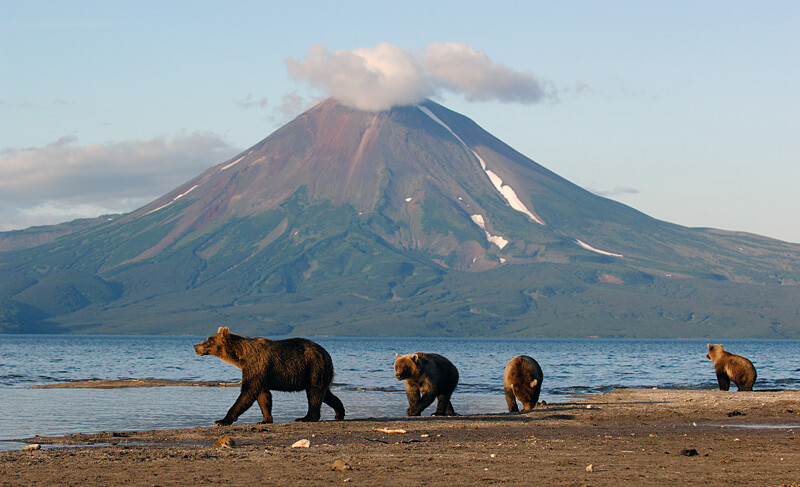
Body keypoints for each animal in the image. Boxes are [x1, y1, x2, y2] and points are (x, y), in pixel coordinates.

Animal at [195, 328, 346, 428]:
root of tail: (327, 353)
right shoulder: (260, 373)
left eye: (208, 340)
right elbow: (263, 396)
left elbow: (247, 392)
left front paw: (221, 420)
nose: (195, 346)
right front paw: (265, 419)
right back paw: (339, 413)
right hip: (318, 370)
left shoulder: (256, 366)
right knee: (325, 393)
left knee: (314, 392)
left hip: (313, 366)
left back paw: (306, 417)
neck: (241, 357)